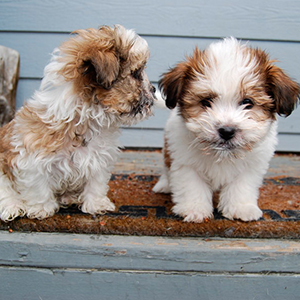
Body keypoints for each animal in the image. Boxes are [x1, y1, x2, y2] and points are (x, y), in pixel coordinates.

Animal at [0, 25, 155, 220]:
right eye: (136, 73)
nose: (153, 89)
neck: (87, 119)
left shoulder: (98, 158)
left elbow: (96, 182)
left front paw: (96, 203)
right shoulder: (31, 158)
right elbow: (38, 187)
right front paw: (42, 208)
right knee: (5, 191)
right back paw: (13, 206)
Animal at [154, 37, 298, 223]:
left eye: (247, 102)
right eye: (206, 101)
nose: (227, 131)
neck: (221, 154)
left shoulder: (251, 166)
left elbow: (241, 186)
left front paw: (241, 208)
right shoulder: (185, 161)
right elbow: (192, 185)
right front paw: (194, 209)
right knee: (167, 167)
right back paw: (164, 184)